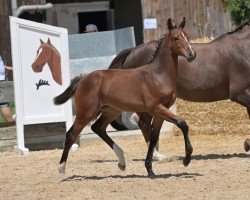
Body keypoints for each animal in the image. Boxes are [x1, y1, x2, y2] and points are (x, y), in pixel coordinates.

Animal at [54, 18, 195, 179]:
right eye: (176, 38)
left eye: (187, 36)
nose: (192, 55)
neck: (158, 75)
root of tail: (82, 79)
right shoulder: (156, 107)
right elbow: (182, 124)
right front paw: (186, 160)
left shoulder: (161, 111)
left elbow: (154, 137)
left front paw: (150, 170)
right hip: (86, 113)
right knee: (71, 134)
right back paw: (62, 170)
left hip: (111, 111)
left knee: (98, 128)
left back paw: (121, 162)